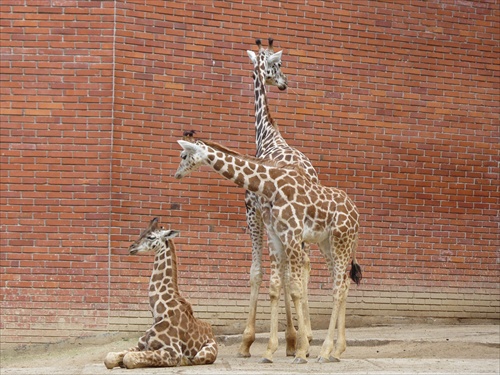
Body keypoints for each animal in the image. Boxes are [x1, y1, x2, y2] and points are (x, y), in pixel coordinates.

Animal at [103, 219, 217, 368]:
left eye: (151, 237)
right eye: (141, 233)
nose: (131, 247)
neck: (158, 313)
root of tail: (212, 332)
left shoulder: (173, 351)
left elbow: (129, 359)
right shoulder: (141, 345)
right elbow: (110, 358)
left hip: (204, 354)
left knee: (196, 359)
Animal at [174, 139, 362, 364]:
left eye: (184, 155)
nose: (176, 174)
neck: (272, 186)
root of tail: (356, 213)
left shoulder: (291, 234)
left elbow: (295, 289)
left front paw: (300, 351)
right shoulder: (275, 235)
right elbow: (275, 287)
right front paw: (270, 351)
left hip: (341, 240)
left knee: (338, 288)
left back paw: (325, 352)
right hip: (327, 243)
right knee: (343, 283)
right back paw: (336, 351)